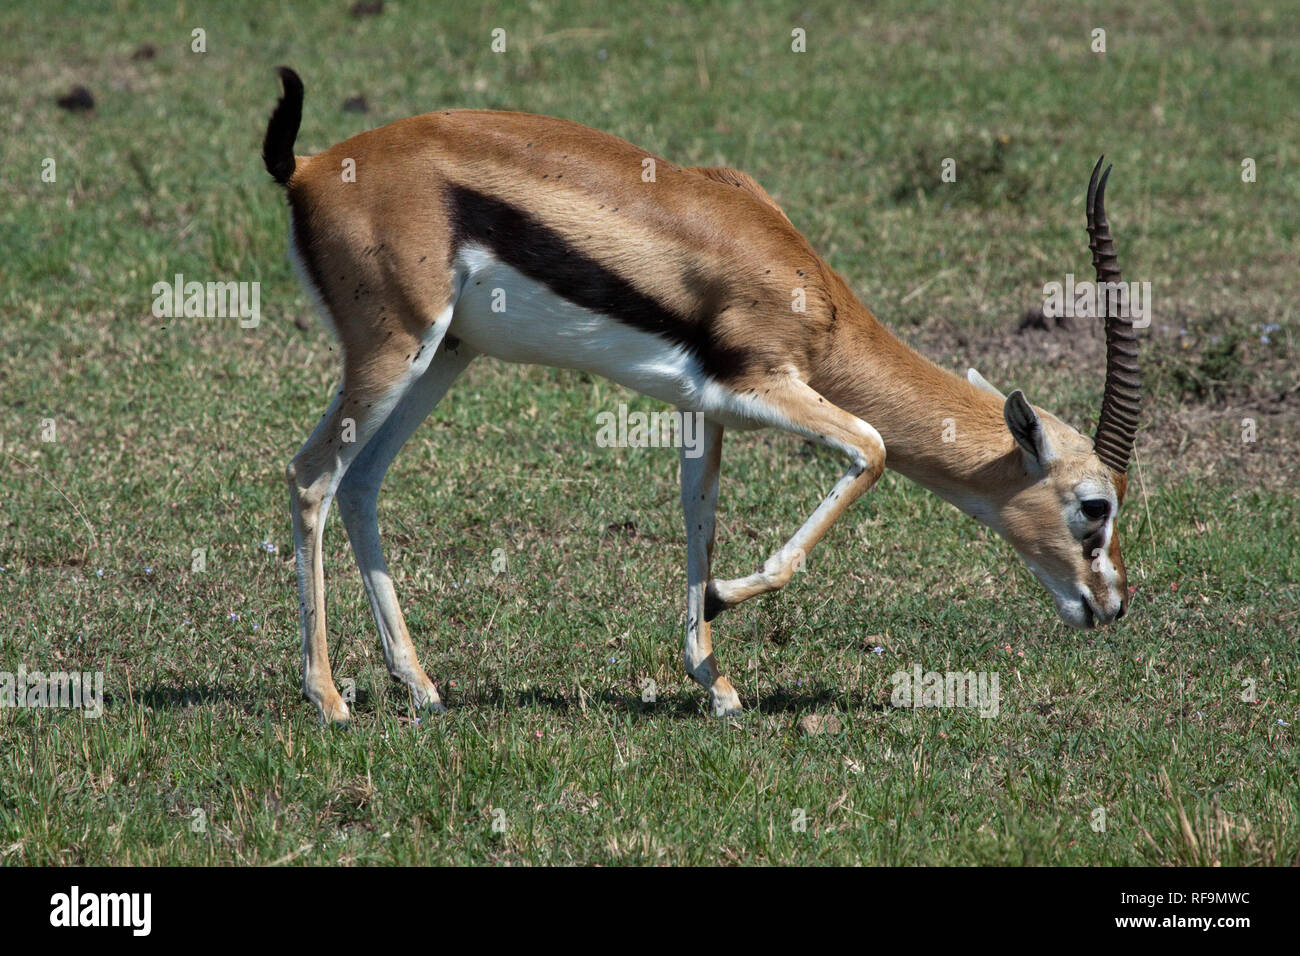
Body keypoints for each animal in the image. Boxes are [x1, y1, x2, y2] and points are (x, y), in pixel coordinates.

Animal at [263, 68, 1141, 723]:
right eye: (1093, 505)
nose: (1112, 606)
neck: (804, 286)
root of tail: (308, 170)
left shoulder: (703, 409)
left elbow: (700, 518)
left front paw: (714, 684)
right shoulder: (759, 386)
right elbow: (872, 447)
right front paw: (722, 605)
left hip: (445, 356)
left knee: (362, 482)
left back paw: (420, 686)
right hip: (394, 350)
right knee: (311, 474)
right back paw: (330, 699)